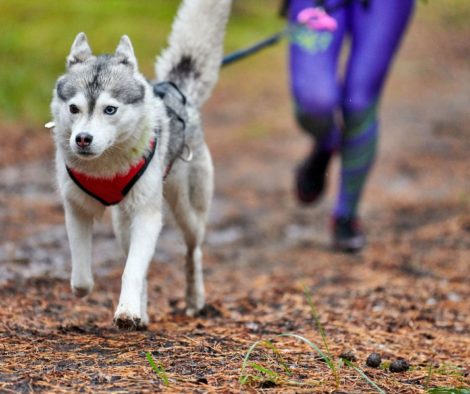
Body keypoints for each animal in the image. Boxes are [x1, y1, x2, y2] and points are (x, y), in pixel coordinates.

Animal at [50, 0, 233, 330]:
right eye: (74, 108)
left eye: (110, 109)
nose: (82, 139)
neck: (106, 165)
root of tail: (177, 91)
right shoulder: (76, 209)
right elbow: (82, 276)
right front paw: (96, 294)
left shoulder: (148, 216)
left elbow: (131, 270)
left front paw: (126, 312)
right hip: (123, 223)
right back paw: (143, 312)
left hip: (187, 210)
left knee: (192, 252)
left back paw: (193, 298)